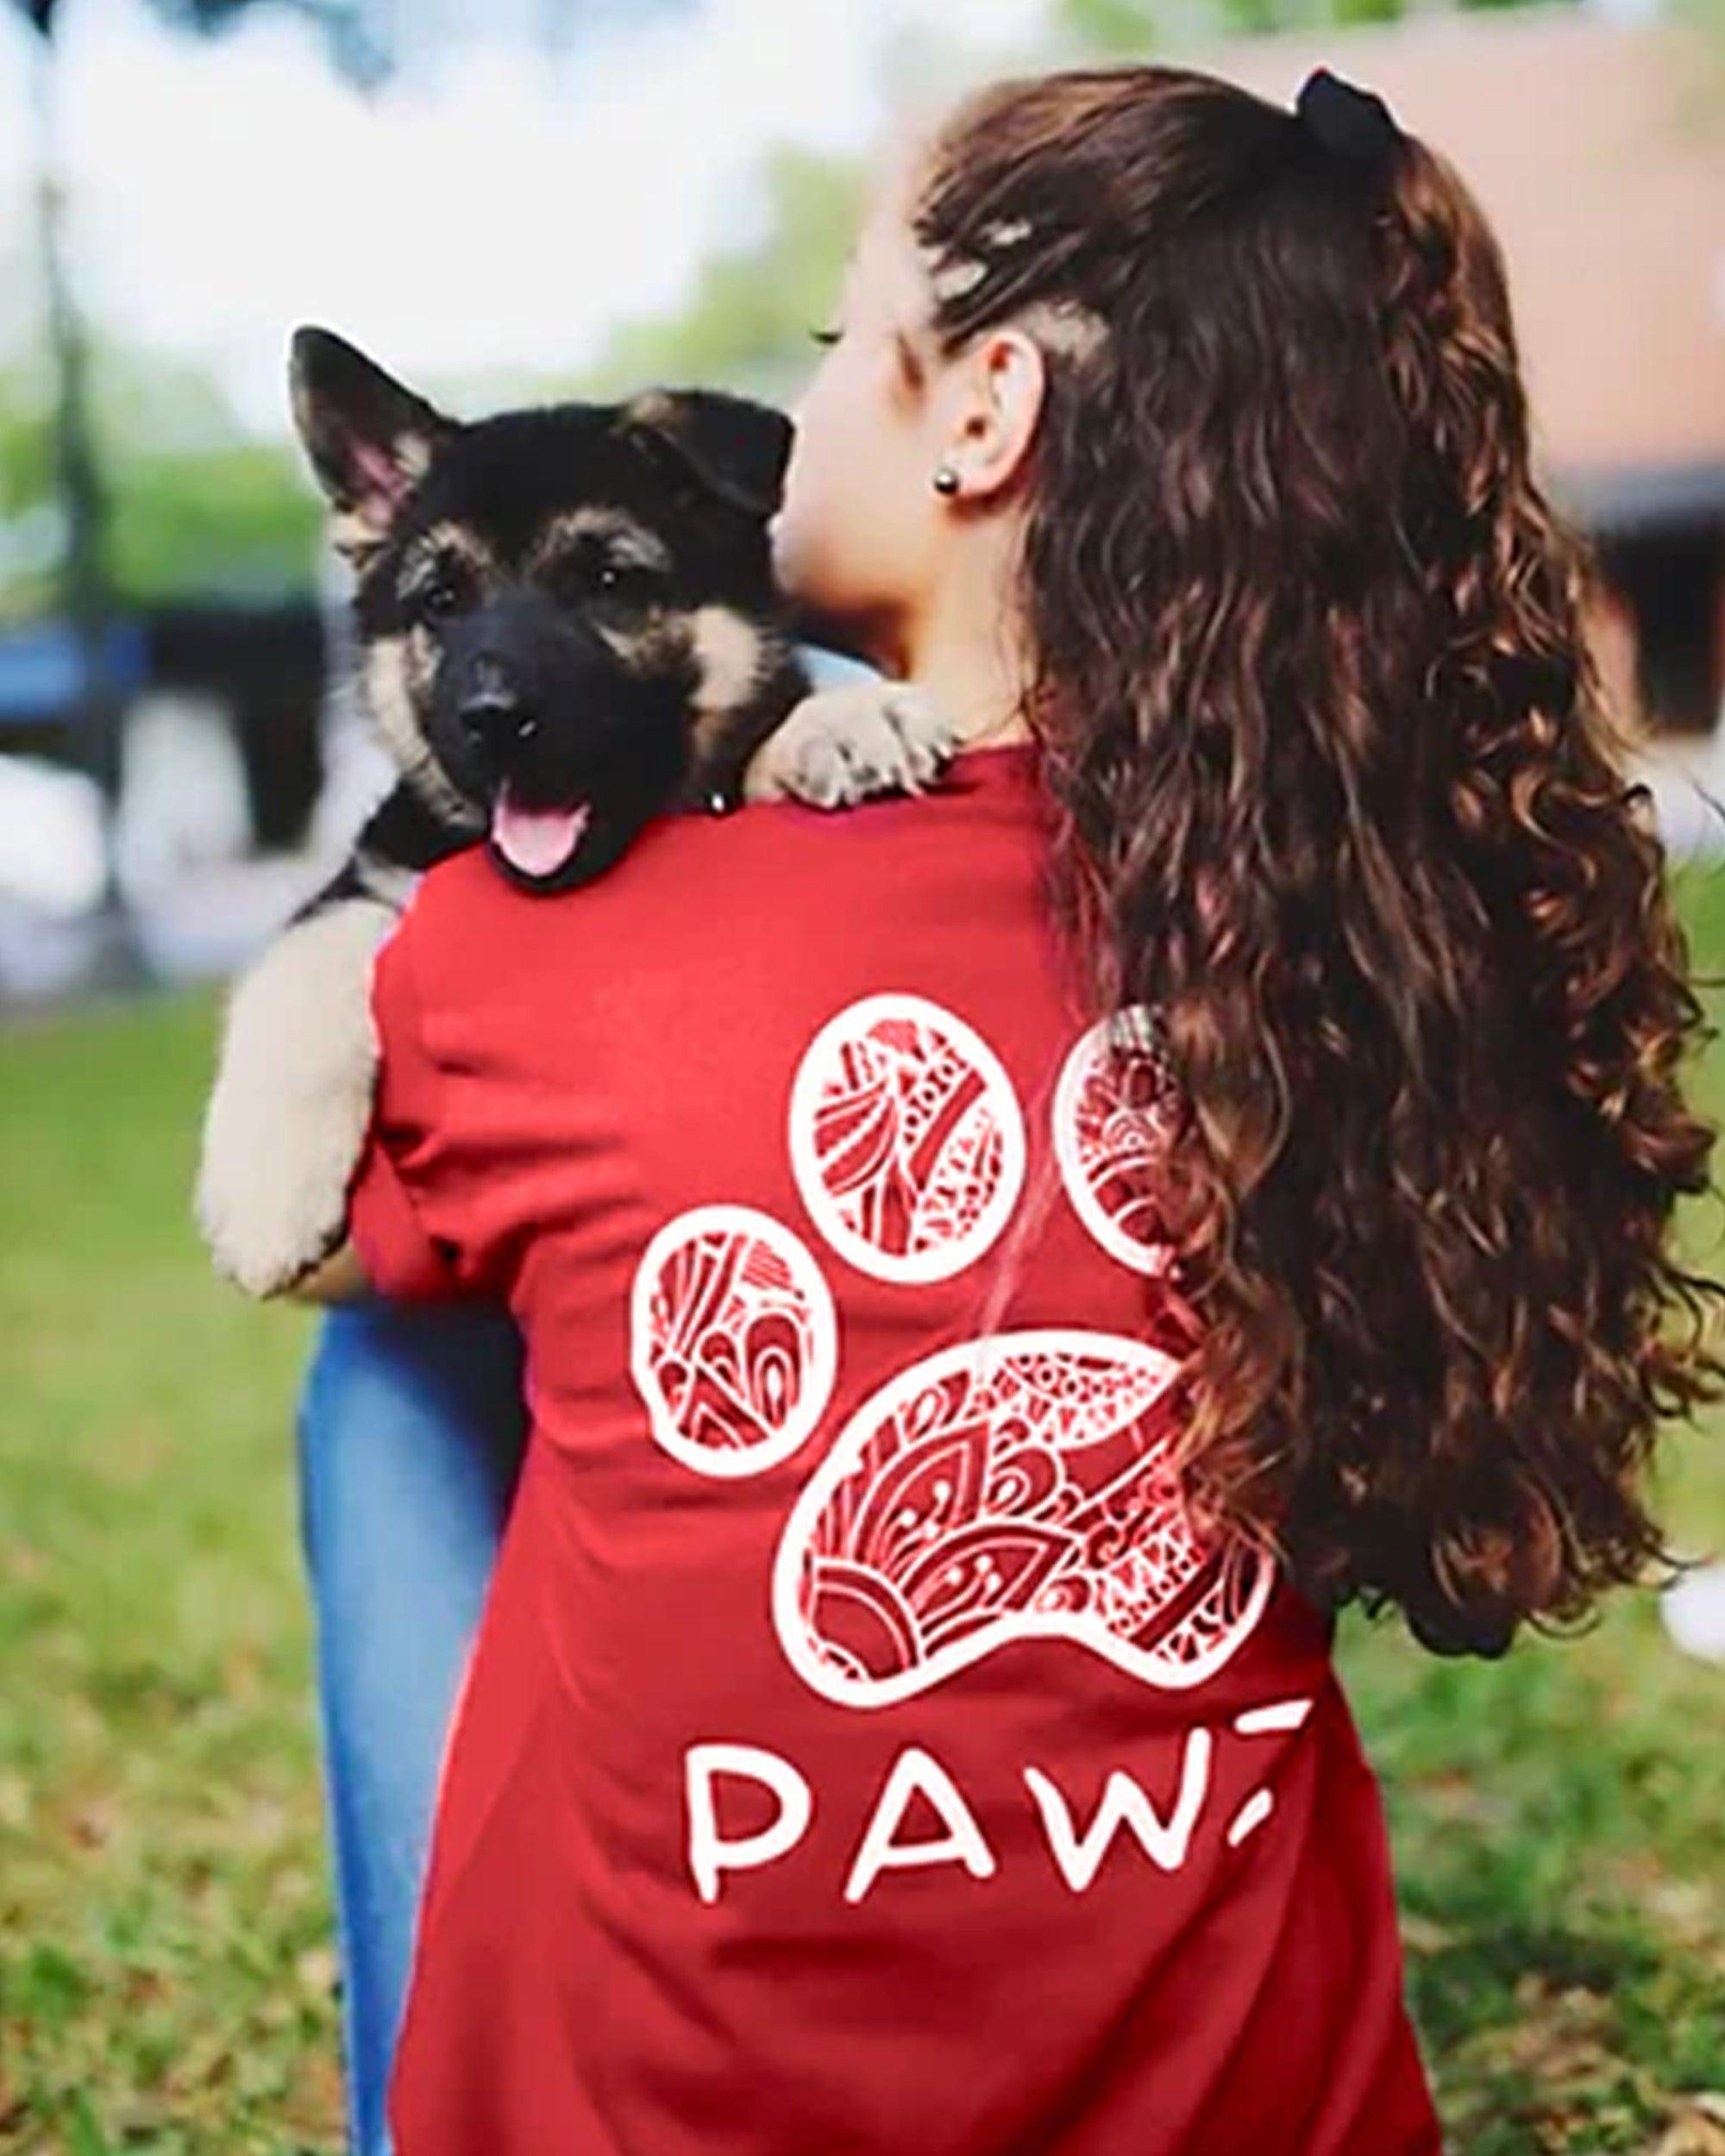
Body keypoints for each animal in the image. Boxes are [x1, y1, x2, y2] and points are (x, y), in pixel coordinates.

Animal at [198, 328, 970, 1285]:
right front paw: (267, 1190)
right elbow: (302, 967)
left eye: (607, 580)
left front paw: (847, 718)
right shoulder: (377, 874)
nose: (493, 717)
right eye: (441, 601)